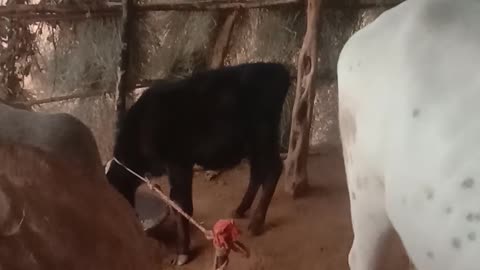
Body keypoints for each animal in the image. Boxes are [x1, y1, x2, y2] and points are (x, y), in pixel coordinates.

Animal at [106, 60, 288, 264]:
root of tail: (278, 68)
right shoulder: (180, 165)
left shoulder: (178, 163)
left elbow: (181, 204)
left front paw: (183, 252)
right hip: (252, 144)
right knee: (257, 172)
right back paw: (241, 209)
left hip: (263, 136)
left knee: (274, 169)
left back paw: (256, 223)